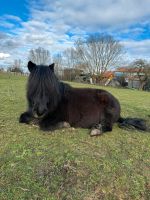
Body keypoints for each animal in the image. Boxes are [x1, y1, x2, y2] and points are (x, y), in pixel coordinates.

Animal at [19, 61, 148, 136]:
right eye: (33, 84)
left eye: (49, 86)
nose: (40, 111)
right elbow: (23, 118)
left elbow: (43, 124)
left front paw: (64, 125)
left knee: (109, 126)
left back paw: (96, 130)